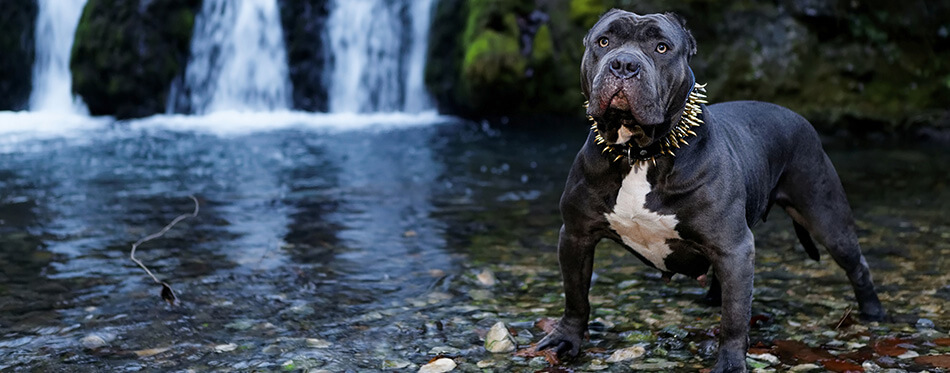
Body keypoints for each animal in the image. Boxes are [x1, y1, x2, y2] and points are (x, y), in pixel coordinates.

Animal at [540, 9, 888, 372]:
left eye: (662, 47)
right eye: (604, 41)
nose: (623, 64)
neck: (640, 153)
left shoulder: (734, 248)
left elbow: (734, 318)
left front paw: (731, 362)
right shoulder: (576, 235)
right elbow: (576, 296)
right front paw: (566, 340)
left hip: (826, 216)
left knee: (856, 265)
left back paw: (874, 313)